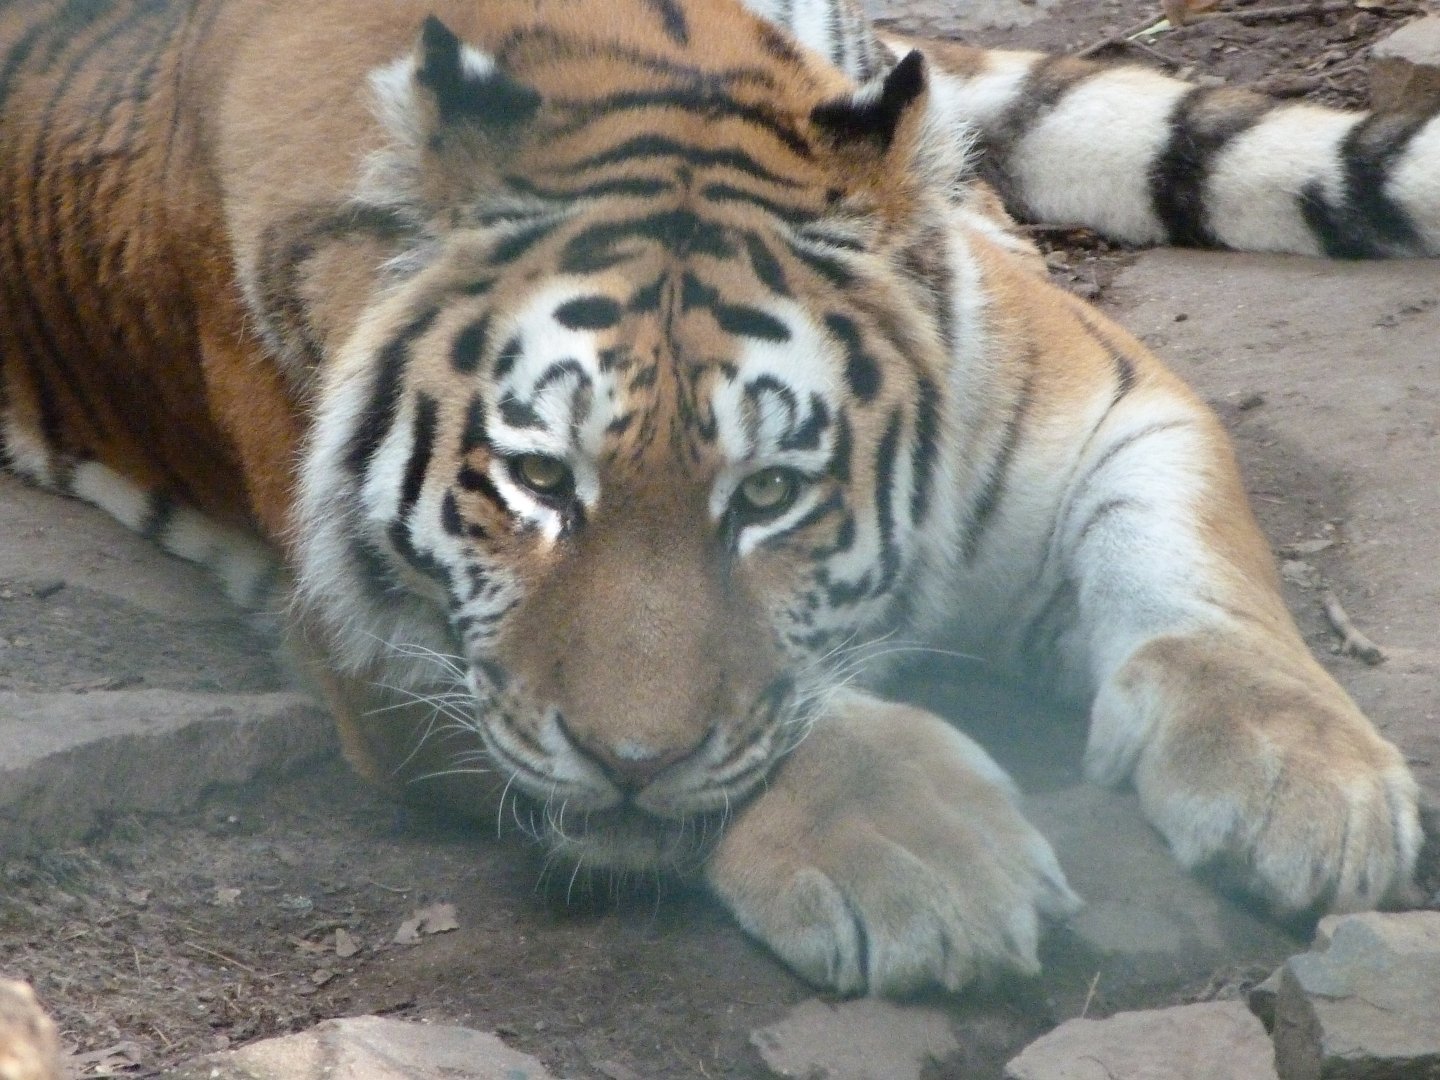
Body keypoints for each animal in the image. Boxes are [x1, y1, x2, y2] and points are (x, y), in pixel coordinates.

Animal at [0, 0, 1431, 996]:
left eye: (774, 493)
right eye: (537, 481)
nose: (630, 766)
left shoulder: (1100, 395)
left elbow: (1198, 576)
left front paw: (1304, 782)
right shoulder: (373, 644)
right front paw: (923, 860)